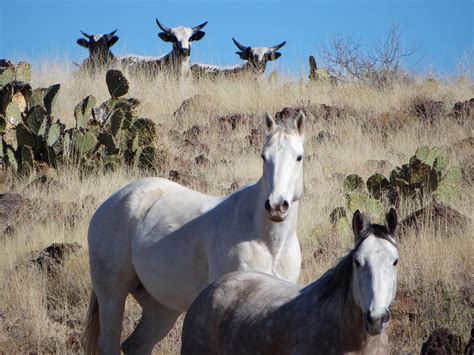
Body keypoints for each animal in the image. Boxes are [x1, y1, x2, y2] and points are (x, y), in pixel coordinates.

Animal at [81, 112, 306, 354]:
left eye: (299, 157)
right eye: (264, 156)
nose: (276, 206)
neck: (269, 244)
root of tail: (111, 202)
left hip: (161, 306)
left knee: (137, 344)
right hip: (112, 295)